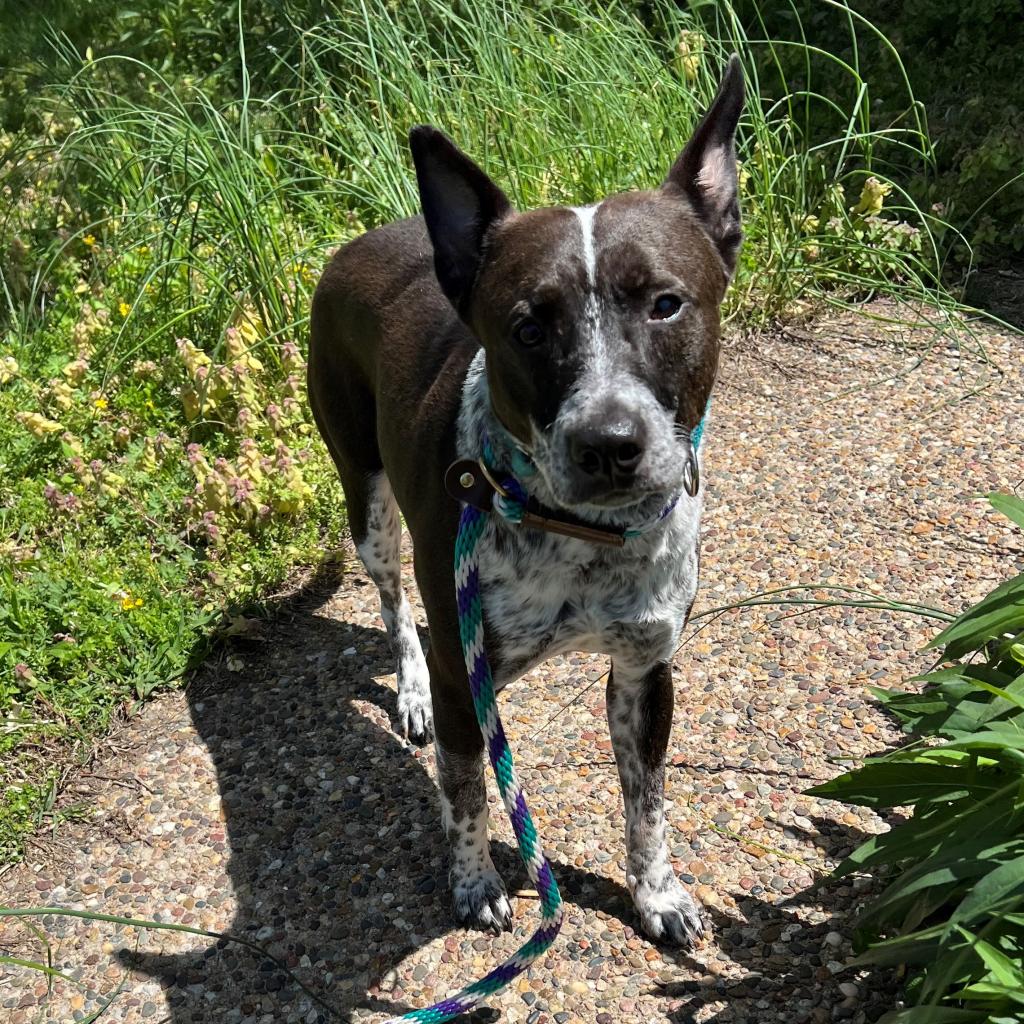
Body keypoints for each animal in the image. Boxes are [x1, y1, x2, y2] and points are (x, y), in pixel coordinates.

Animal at [305, 58, 745, 950]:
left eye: (666, 303)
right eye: (528, 328)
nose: (609, 444)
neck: (581, 538)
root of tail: (360, 239)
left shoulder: (646, 670)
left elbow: (647, 803)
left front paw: (656, 894)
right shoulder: (465, 680)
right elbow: (469, 791)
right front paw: (474, 882)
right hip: (368, 504)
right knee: (394, 602)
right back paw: (406, 687)